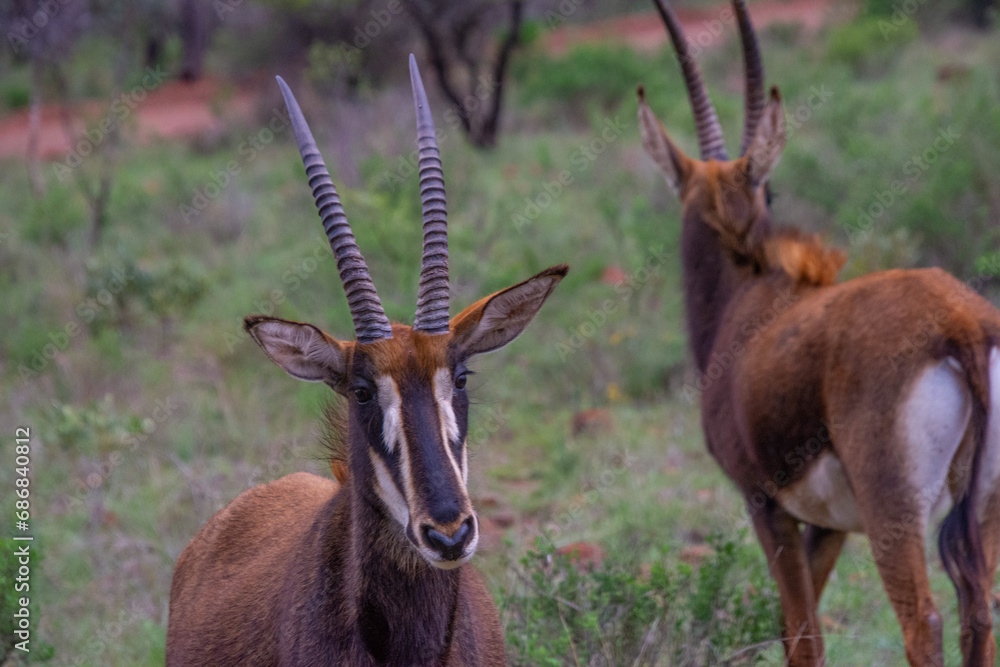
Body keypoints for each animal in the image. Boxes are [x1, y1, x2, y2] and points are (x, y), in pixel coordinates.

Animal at [638, 1, 1000, 665]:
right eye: (769, 187)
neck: (750, 297)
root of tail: (959, 321)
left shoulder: (766, 505)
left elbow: (803, 636)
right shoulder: (829, 526)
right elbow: (795, 629)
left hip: (893, 513)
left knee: (924, 622)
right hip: (981, 505)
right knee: (979, 614)